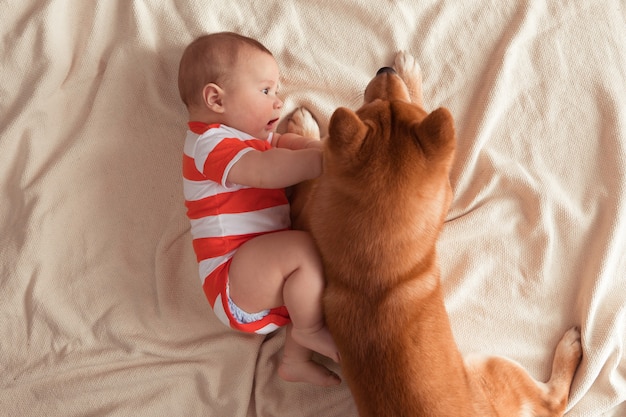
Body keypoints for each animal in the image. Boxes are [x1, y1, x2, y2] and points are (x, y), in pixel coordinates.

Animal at [286, 52, 580, 416]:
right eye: (377, 102)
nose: (385, 69)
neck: (376, 273)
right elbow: (307, 174)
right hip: (493, 367)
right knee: (553, 402)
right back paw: (570, 348)